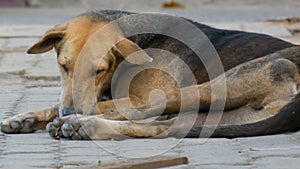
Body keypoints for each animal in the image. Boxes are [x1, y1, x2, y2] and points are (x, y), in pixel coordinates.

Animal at [0, 10, 300, 140]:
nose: (69, 111)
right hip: (228, 113)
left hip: (220, 84)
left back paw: (80, 123)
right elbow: (60, 103)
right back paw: (82, 125)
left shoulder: (137, 96)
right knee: (164, 127)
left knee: (143, 112)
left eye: (98, 70)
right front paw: (24, 118)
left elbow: (107, 104)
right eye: (64, 66)